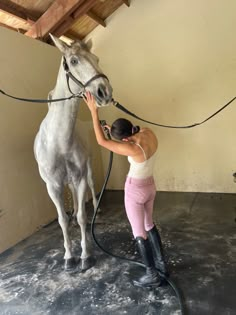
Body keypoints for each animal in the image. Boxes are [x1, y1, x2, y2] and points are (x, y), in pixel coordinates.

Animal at [33, 34, 113, 272]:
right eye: (74, 61)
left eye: (96, 58)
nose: (104, 92)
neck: (58, 141)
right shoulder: (53, 186)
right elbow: (62, 220)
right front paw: (69, 256)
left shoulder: (79, 179)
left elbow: (81, 217)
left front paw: (86, 255)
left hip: (87, 169)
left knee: (92, 190)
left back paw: (96, 207)